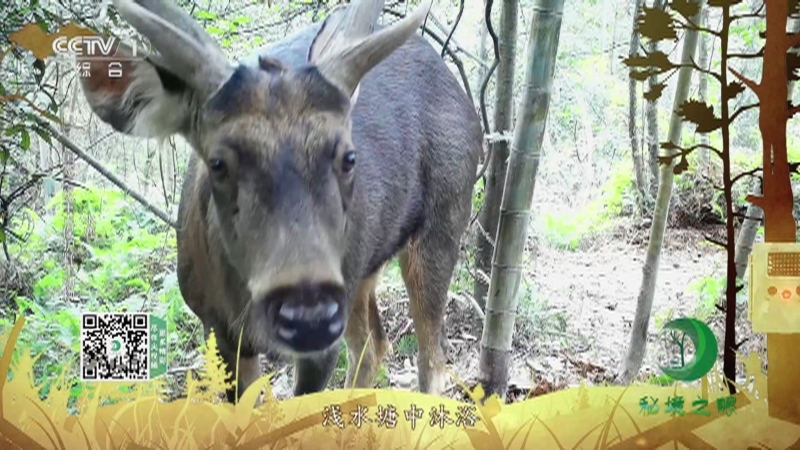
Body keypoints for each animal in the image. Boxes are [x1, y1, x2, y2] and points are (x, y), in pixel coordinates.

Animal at [76, 0, 482, 405]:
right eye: (217, 163)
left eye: (349, 157)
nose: (308, 316)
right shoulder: (218, 329)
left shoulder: (321, 342)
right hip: (363, 268)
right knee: (374, 343)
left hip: (441, 224)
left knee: (430, 358)